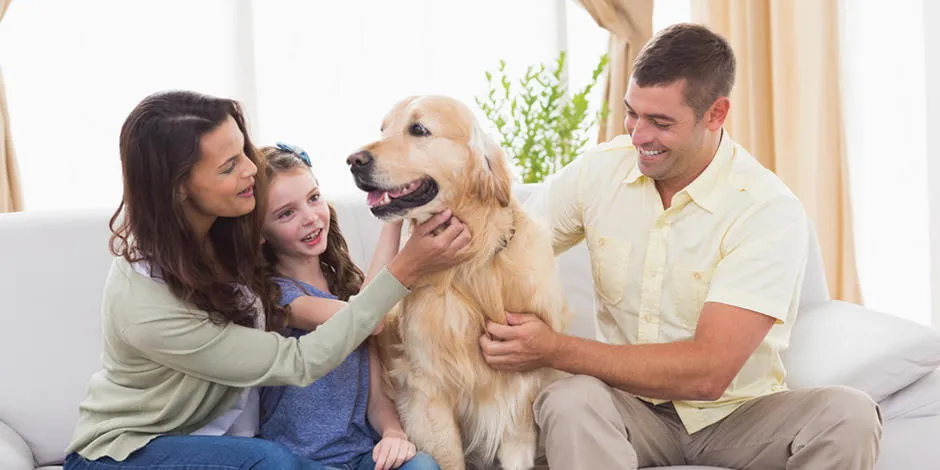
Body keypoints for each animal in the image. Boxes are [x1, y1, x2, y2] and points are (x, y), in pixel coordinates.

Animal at [344, 93, 564, 468]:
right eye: (383, 128)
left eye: (418, 129)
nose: (353, 160)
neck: (470, 265)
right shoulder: (428, 392)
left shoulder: (517, 394)